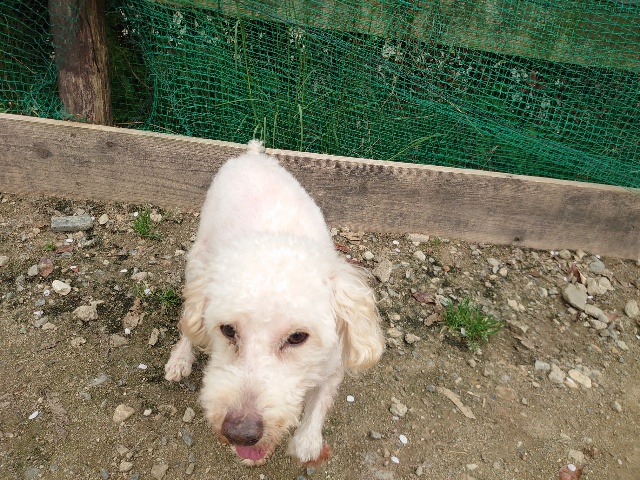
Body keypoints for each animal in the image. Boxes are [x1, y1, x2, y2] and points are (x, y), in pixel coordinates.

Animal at [164, 140, 384, 466]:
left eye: (298, 337)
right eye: (227, 330)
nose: (240, 433)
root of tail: (253, 154)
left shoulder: (332, 367)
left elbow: (320, 402)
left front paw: (307, 443)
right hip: (200, 257)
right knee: (188, 320)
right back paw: (180, 358)